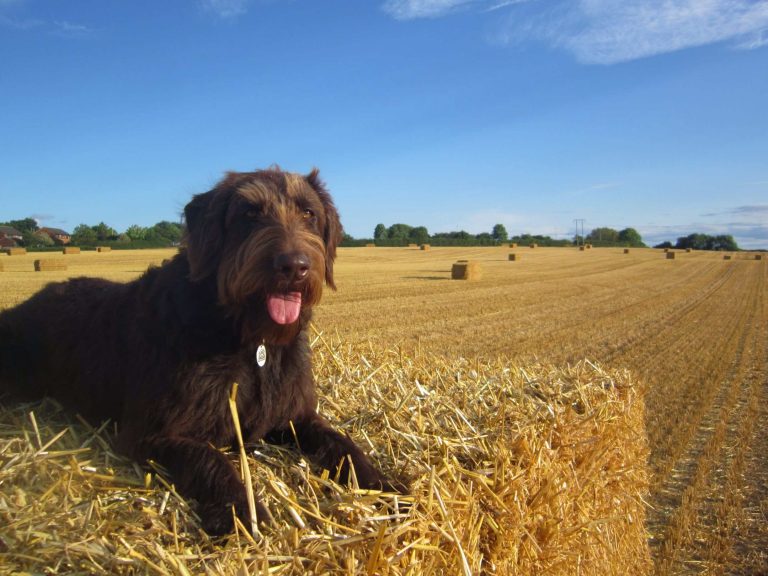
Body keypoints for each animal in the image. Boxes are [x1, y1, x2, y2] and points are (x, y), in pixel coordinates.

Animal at [0, 166, 396, 536]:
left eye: (309, 213)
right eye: (249, 213)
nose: (294, 266)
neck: (250, 340)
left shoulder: (294, 416)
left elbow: (342, 444)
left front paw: (385, 485)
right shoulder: (152, 433)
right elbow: (210, 460)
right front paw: (241, 511)